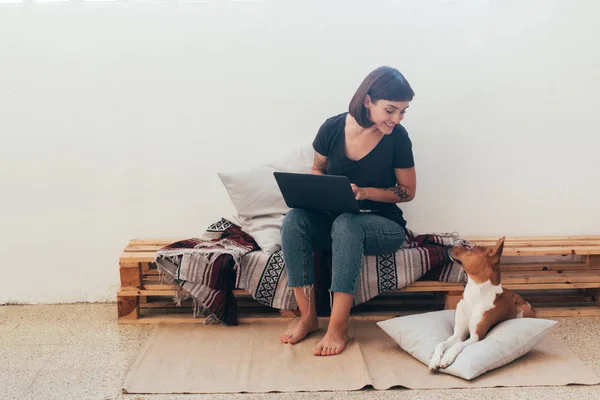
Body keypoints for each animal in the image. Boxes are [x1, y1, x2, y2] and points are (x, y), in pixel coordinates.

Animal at [426, 234, 536, 372]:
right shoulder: (458, 333)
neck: (474, 295)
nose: (449, 245)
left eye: (472, 249)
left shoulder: (476, 336)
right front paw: (435, 360)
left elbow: (458, 345)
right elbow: (441, 344)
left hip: (521, 311)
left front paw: (447, 357)